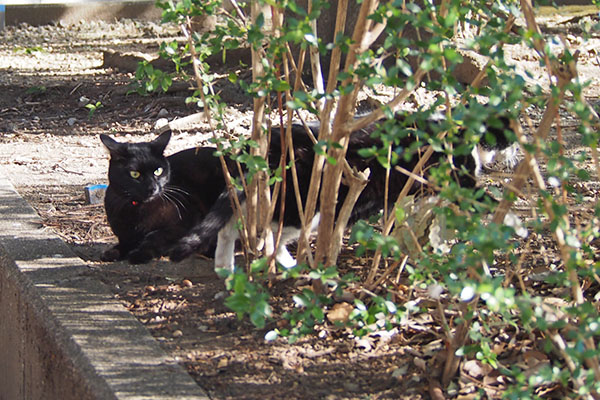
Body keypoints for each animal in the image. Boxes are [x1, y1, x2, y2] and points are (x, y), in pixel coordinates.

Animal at [98, 130, 230, 264]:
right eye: (134, 174)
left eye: (158, 171)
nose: (152, 187)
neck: (139, 210)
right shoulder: (125, 234)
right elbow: (125, 242)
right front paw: (112, 252)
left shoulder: (186, 223)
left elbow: (156, 236)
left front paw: (140, 253)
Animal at [169, 109, 516, 272]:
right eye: (511, 134)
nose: (517, 151)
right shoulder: (457, 182)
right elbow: (477, 196)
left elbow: (417, 222)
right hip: (302, 206)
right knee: (269, 234)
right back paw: (289, 265)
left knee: (231, 225)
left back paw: (224, 267)